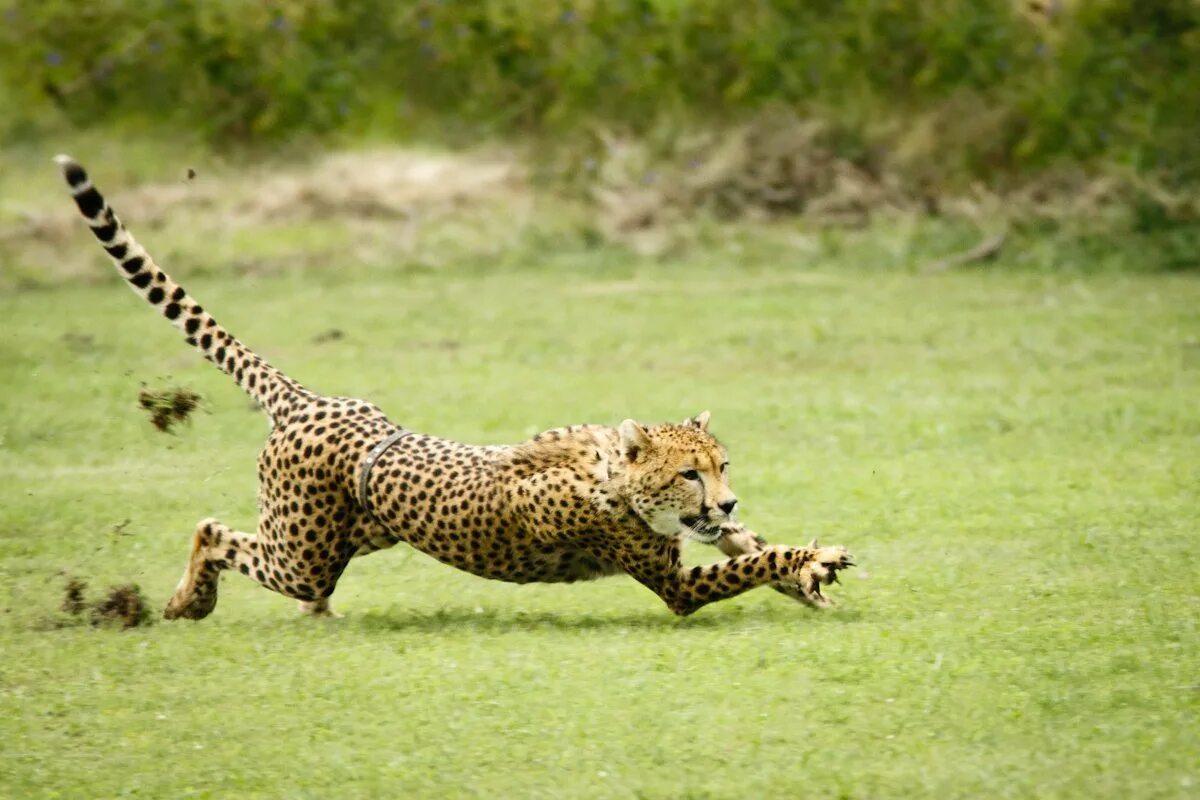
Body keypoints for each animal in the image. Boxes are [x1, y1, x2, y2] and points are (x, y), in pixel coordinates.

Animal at [56, 155, 854, 618]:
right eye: (689, 472)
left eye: (723, 467)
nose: (725, 497)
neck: (611, 477)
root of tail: (316, 401)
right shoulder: (675, 586)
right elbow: (745, 560)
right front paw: (803, 562)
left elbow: (748, 543)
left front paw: (803, 572)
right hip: (303, 554)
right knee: (212, 531)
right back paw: (188, 599)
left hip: (357, 536)